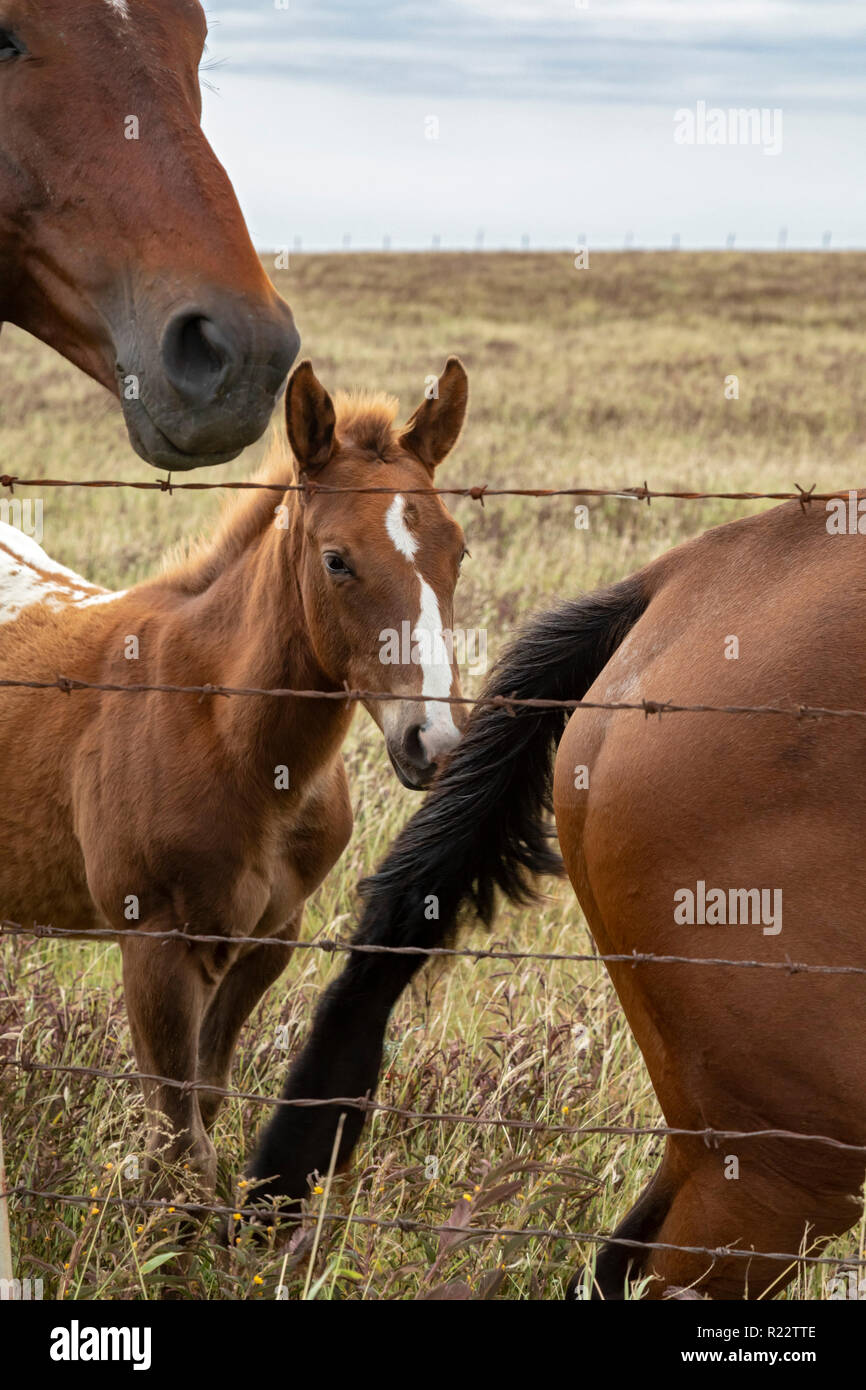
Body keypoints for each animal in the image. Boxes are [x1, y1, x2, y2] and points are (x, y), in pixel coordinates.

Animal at [0, 358, 469, 1195]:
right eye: (336, 560)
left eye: (459, 551)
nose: (435, 740)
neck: (231, 739)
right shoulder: (155, 944)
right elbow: (178, 1134)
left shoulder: (271, 937)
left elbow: (208, 1103)